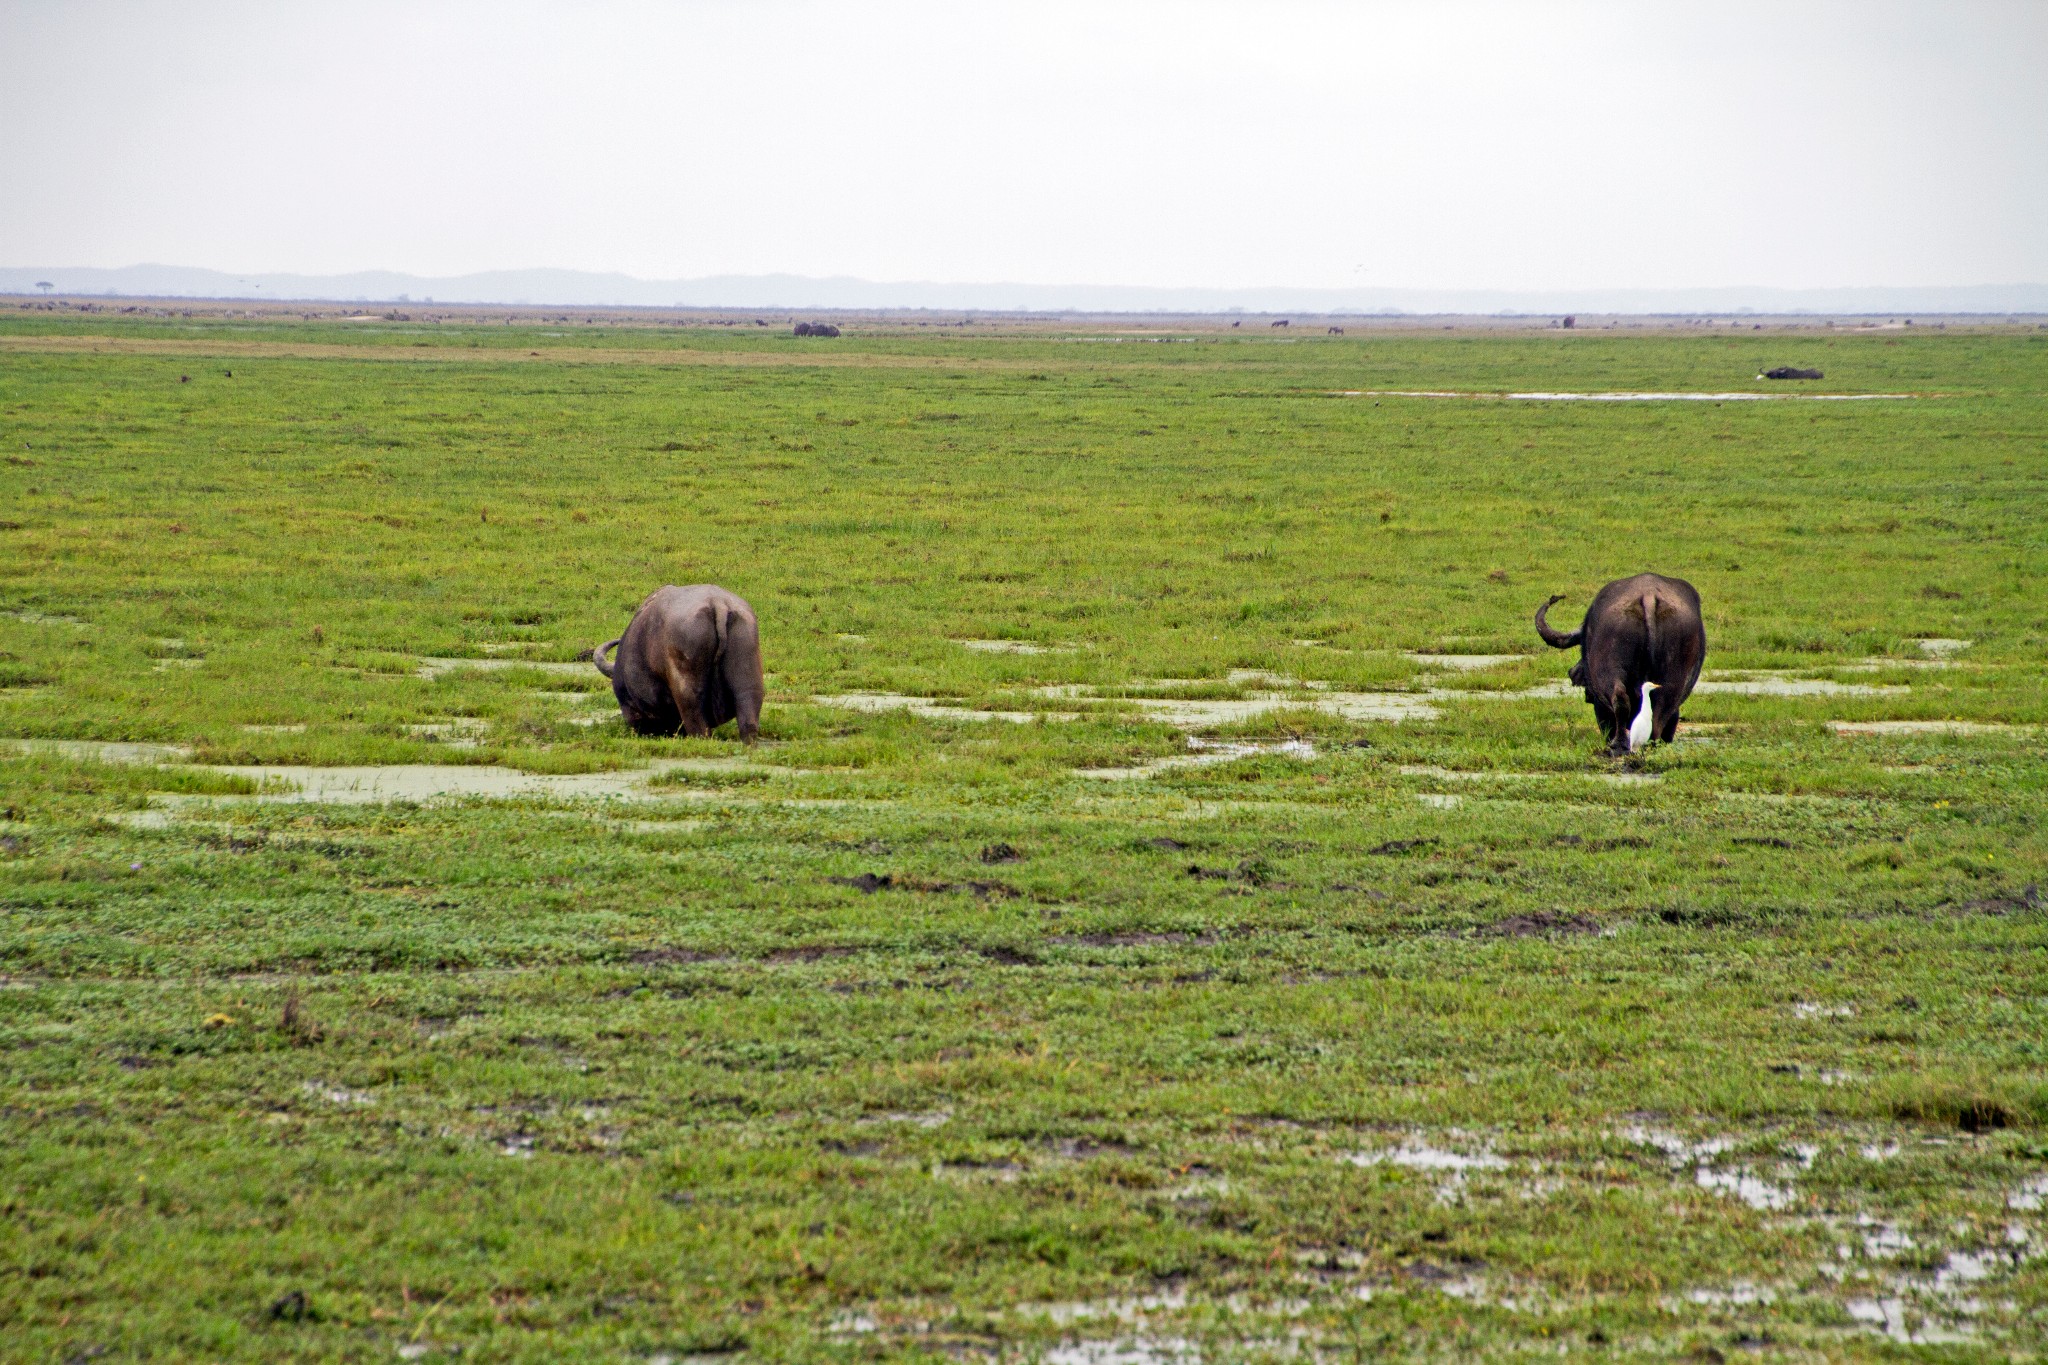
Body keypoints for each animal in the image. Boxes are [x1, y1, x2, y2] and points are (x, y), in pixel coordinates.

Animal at [1540, 568, 1712, 753]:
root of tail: (1648, 597)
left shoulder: (1599, 704)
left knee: (1621, 699)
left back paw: (1619, 744)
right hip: (1673, 678)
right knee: (1660, 708)